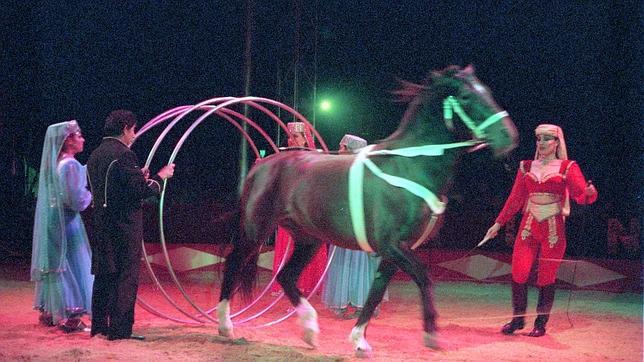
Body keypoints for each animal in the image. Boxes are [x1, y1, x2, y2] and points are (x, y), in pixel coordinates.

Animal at [216, 65, 520, 356]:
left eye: (487, 92)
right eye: (467, 97)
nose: (509, 137)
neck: (409, 165)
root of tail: (262, 165)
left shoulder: (395, 251)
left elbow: (376, 291)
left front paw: (359, 340)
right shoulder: (393, 246)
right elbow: (423, 278)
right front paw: (431, 334)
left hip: (308, 239)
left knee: (286, 276)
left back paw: (310, 330)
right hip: (256, 232)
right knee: (234, 264)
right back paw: (226, 327)